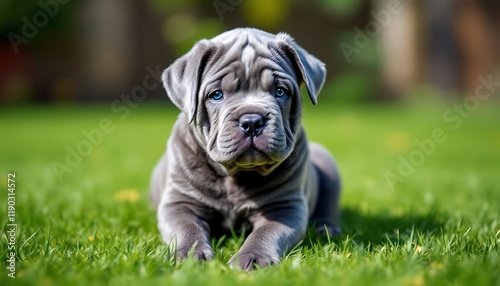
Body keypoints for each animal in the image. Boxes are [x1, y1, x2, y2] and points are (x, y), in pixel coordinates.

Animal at [150, 27, 342, 270]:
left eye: (280, 92)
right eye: (216, 94)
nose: (252, 121)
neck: (236, 175)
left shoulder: (284, 207)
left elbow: (266, 232)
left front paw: (253, 257)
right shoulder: (180, 203)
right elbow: (186, 228)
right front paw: (188, 255)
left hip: (328, 165)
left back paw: (326, 228)